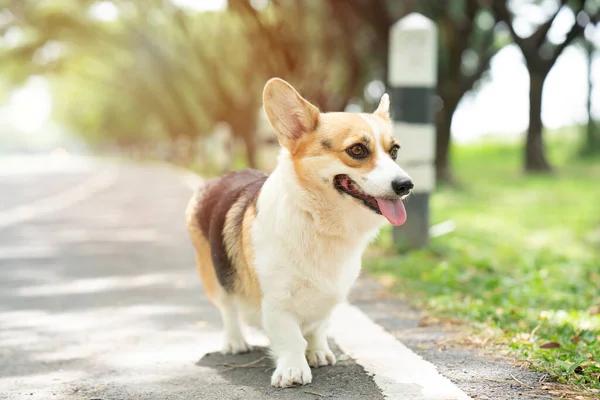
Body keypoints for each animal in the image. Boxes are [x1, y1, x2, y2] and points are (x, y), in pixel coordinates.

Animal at [185, 78, 414, 388]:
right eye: (357, 150)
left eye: (395, 151)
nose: (406, 185)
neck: (318, 221)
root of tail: (223, 175)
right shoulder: (277, 301)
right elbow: (290, 338)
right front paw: (293, 370)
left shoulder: (327, 297)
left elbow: (317, 328)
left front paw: (317, 352)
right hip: (214, 273)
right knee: (228, 309)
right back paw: (235, 342)